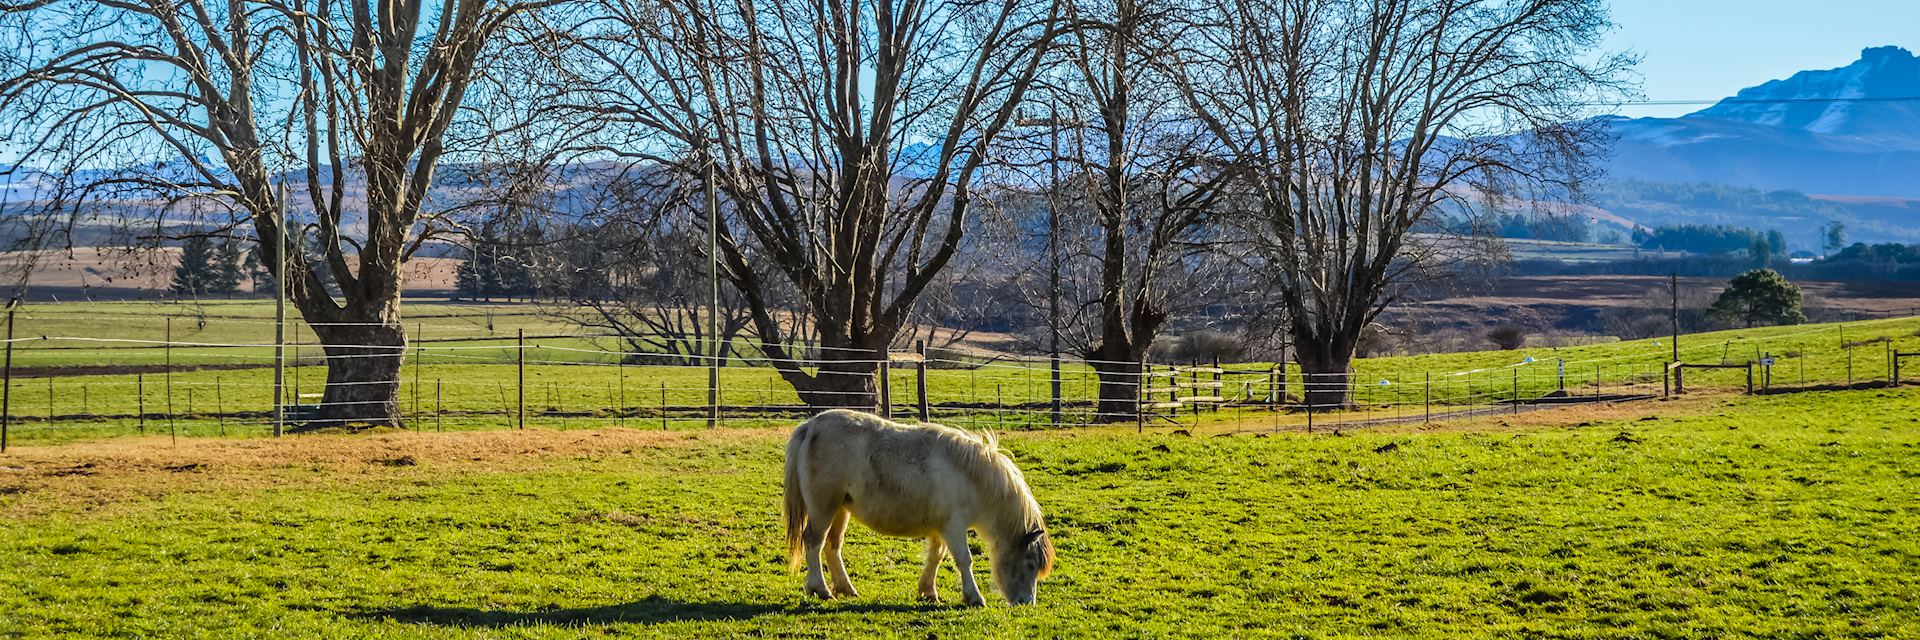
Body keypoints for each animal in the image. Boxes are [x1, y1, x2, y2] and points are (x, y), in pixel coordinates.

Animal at [779, 409, 1052, 603]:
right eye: (1029, 563)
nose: (1026, 602)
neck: (971, 475)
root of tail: (811, 426)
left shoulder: (941, 528)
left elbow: (936, 557)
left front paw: (928, 591)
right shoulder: (954, 527)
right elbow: (964, 560)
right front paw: (974, 597)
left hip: (839, 510)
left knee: (832, 546)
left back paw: (846, 588)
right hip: (823, 508)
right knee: (813, 542)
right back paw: (820, 589)